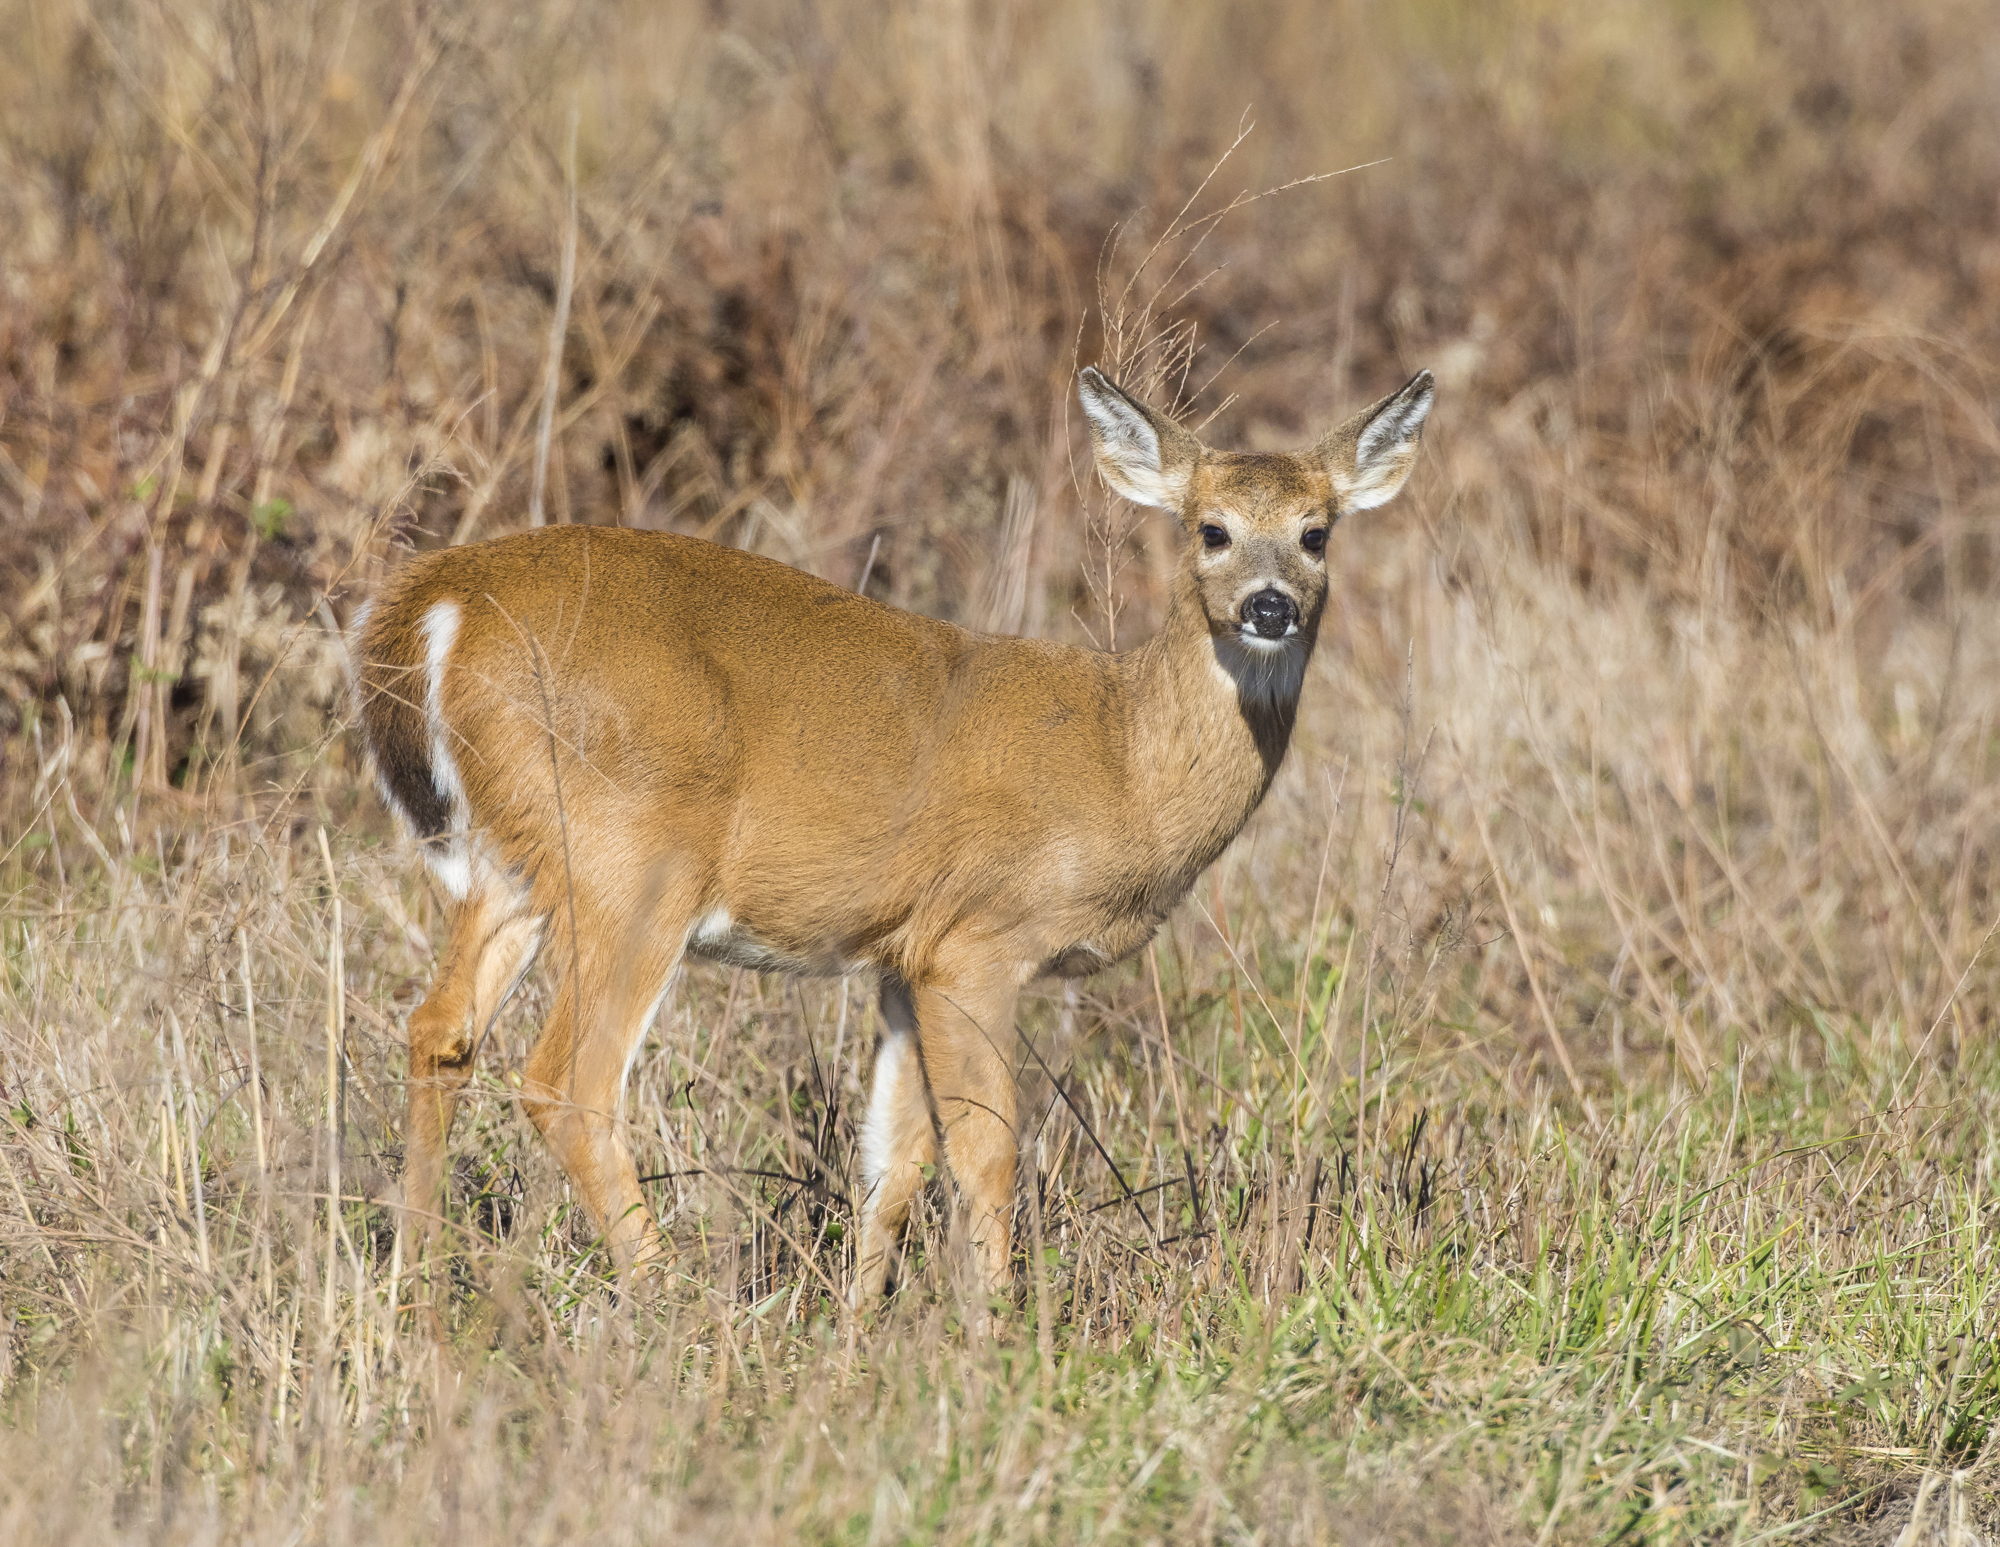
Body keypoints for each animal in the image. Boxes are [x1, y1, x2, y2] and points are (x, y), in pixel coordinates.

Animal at [352, 363, 1434, 1307]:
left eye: (1316, 533)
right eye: (1211, 529)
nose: (1269, 606)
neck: (1117, 758)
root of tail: (437, 606)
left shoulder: (899, 957)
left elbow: (892, 1157)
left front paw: (860, 1325)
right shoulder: (976, 942)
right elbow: (986, 1145)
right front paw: (993, 1329)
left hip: (510, 863)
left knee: (438, 1031)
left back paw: (412, 1297)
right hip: (632, 860)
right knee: (569, 1082)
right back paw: (674, 1307)